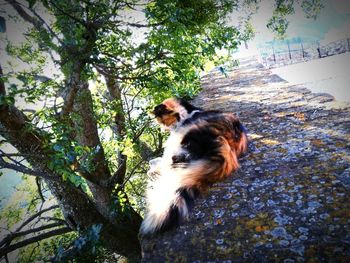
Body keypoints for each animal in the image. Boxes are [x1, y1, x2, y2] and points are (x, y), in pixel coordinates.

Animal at [138, 98, 247, 236]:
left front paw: (153, 163)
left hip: (187, 136)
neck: (188, 112)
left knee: (174, 161)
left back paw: (154, 170)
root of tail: (228, 145)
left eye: (161, 120)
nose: (163, 129)